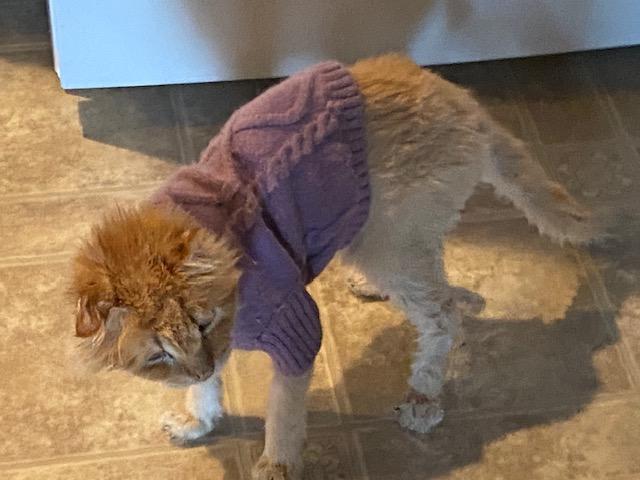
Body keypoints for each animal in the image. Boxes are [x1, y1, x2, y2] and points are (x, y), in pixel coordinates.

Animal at [70, 54, 595, 480]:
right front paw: (198, 419)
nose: (201, 365)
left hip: (388, 240)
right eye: (158, 354)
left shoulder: (295, 327)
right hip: (397, 238)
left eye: (204, 323)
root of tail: (468, 103)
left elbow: (282, 413)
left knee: (442, 314)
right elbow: (205, 388)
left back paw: (424, 396)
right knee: (445, 291)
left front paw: (276, 465)